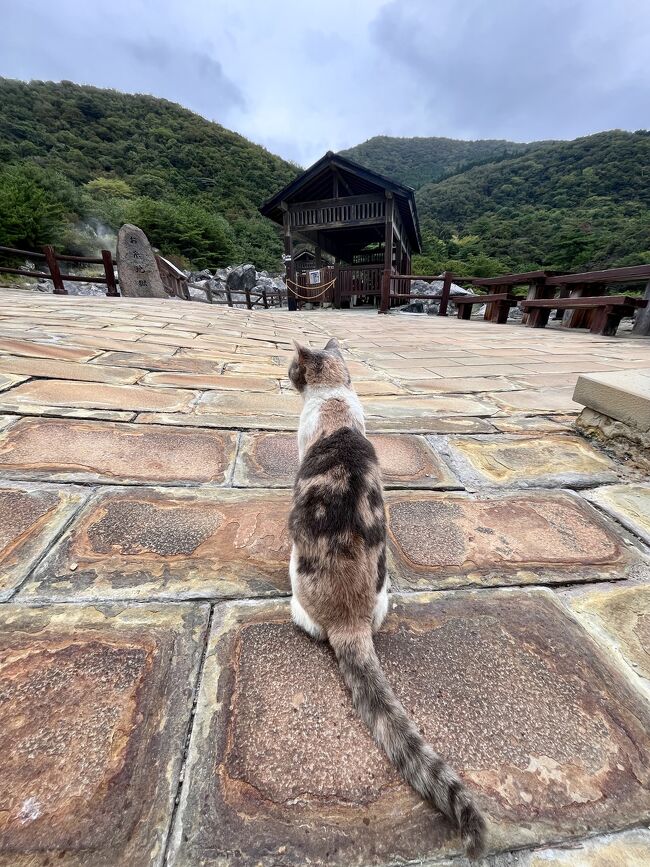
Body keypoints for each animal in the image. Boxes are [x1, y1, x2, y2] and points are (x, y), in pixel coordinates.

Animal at [286, 340, 484, 860]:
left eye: (292, 366)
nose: (284, 375)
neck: (335, 400)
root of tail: (350, 621)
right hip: (385, 593)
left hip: (297, 589)